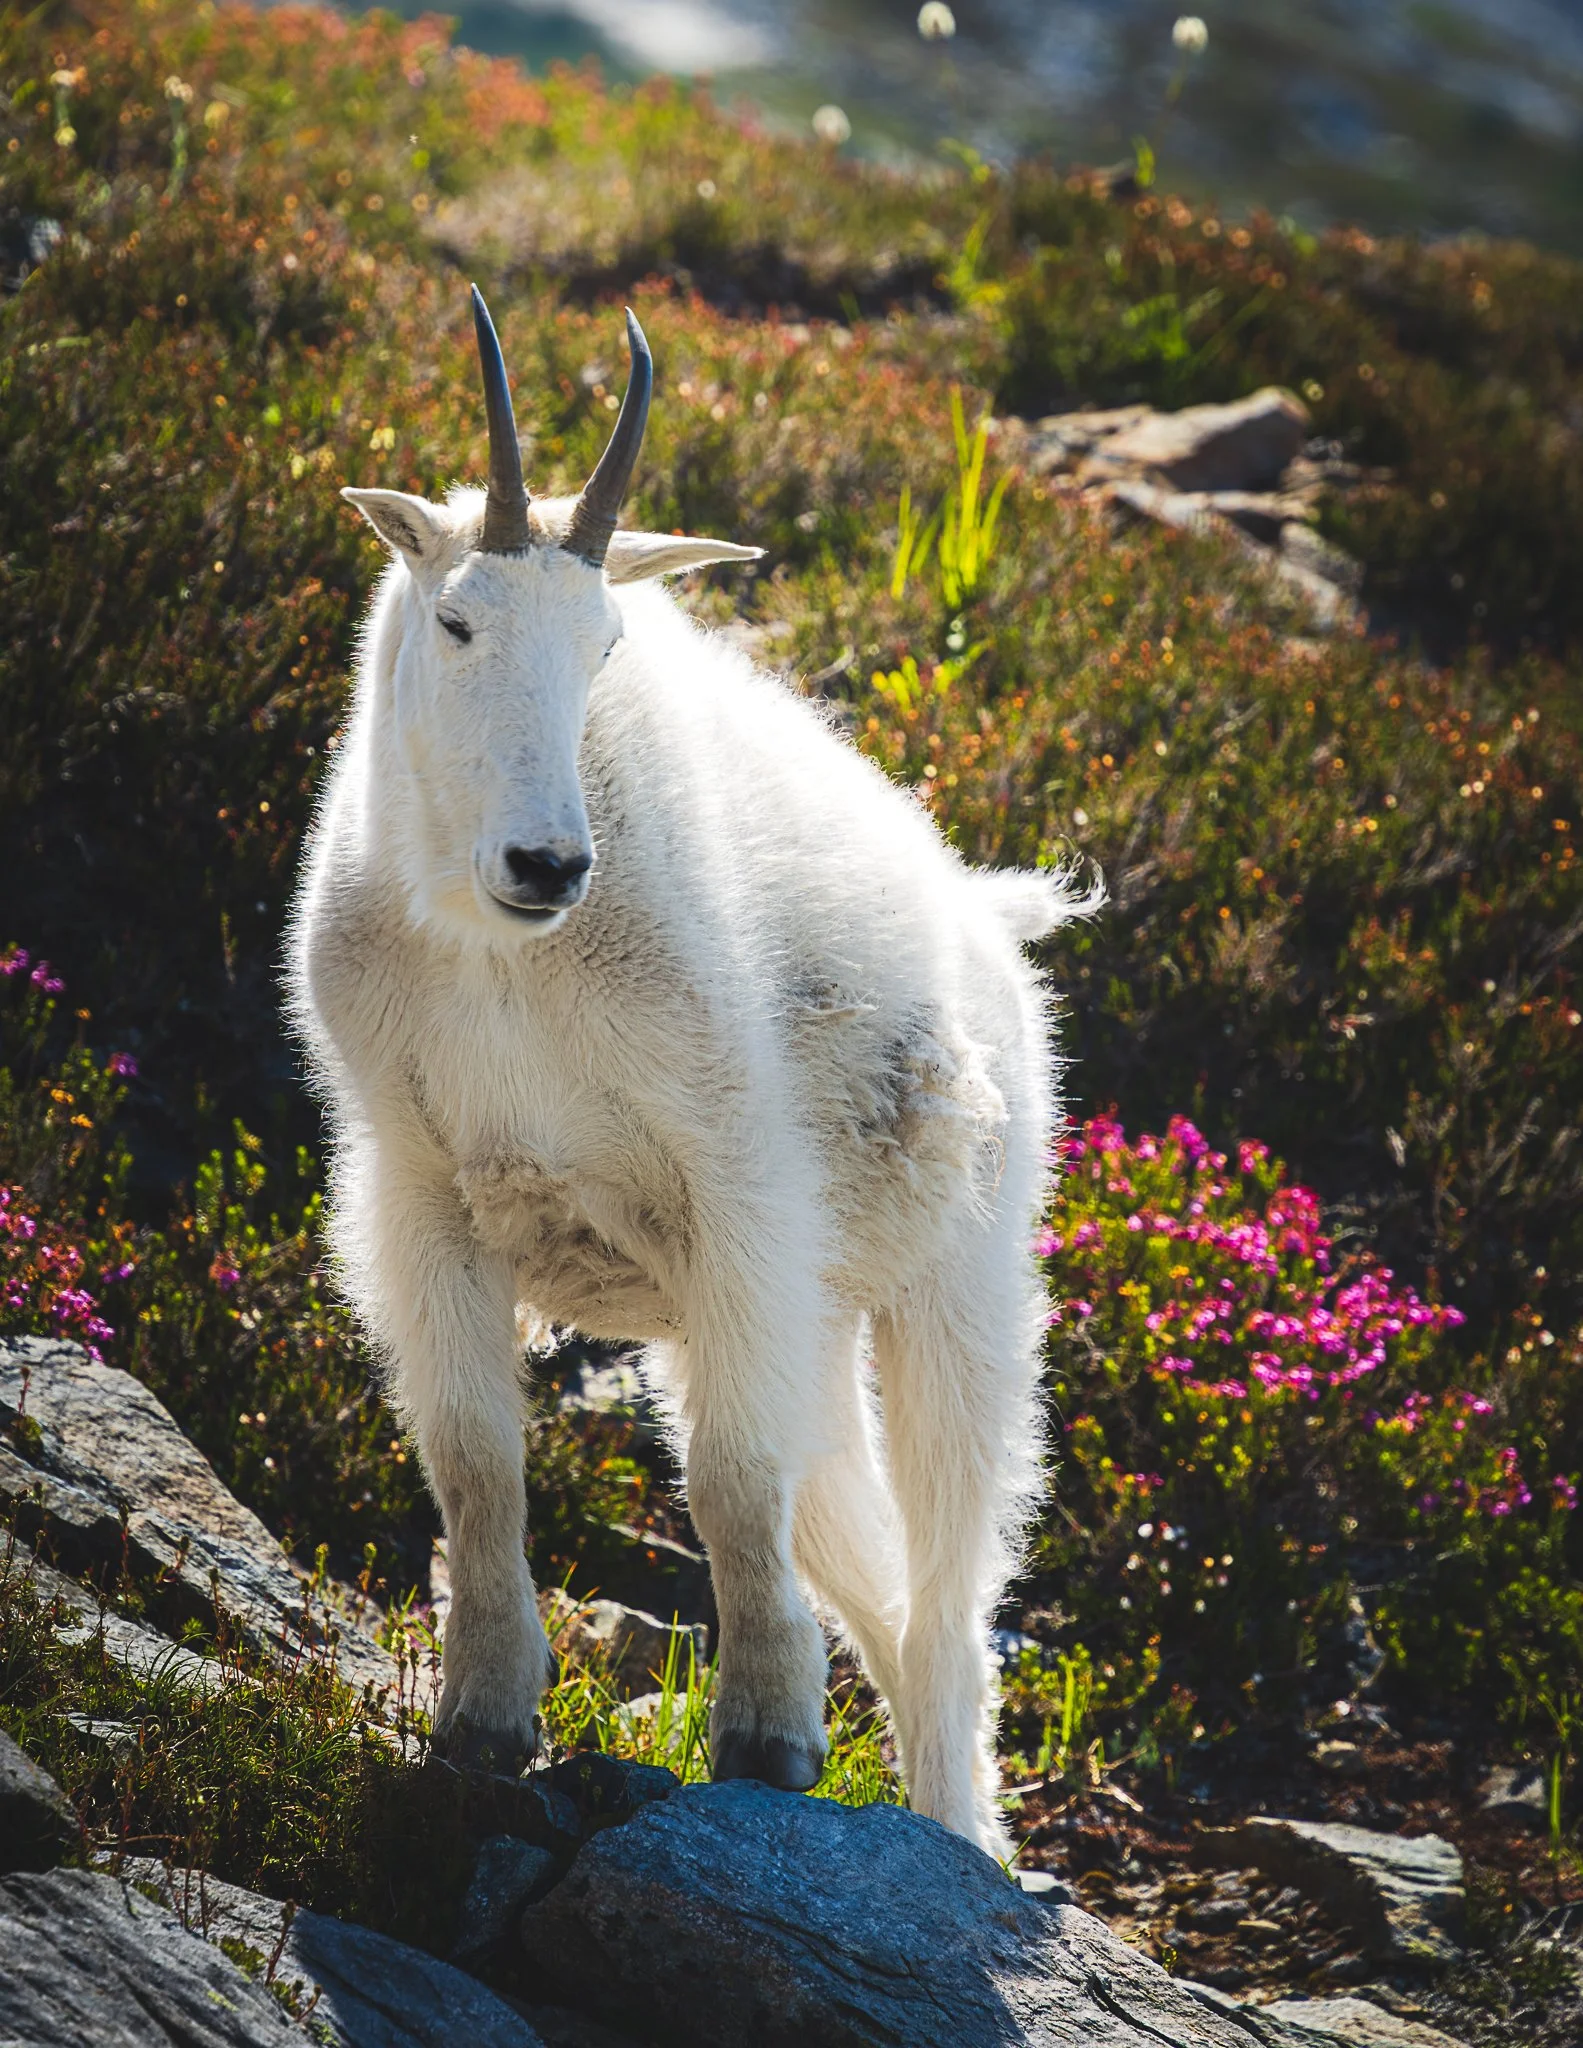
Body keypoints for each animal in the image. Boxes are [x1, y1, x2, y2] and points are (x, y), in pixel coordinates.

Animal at [288, 288, 1092, 1853]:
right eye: (459, 618)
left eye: (605, 641)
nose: (549, 861)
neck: (504, 960)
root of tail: (993, 919)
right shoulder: (421, 1192)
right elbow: (475, 1459)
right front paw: (484, 1719)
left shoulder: (736, 1194)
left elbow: (728, 1481)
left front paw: (768, 1740)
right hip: (822, 1325)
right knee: (873, 1571)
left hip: (952, 1291)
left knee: (949, 1596)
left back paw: (958, 1837)